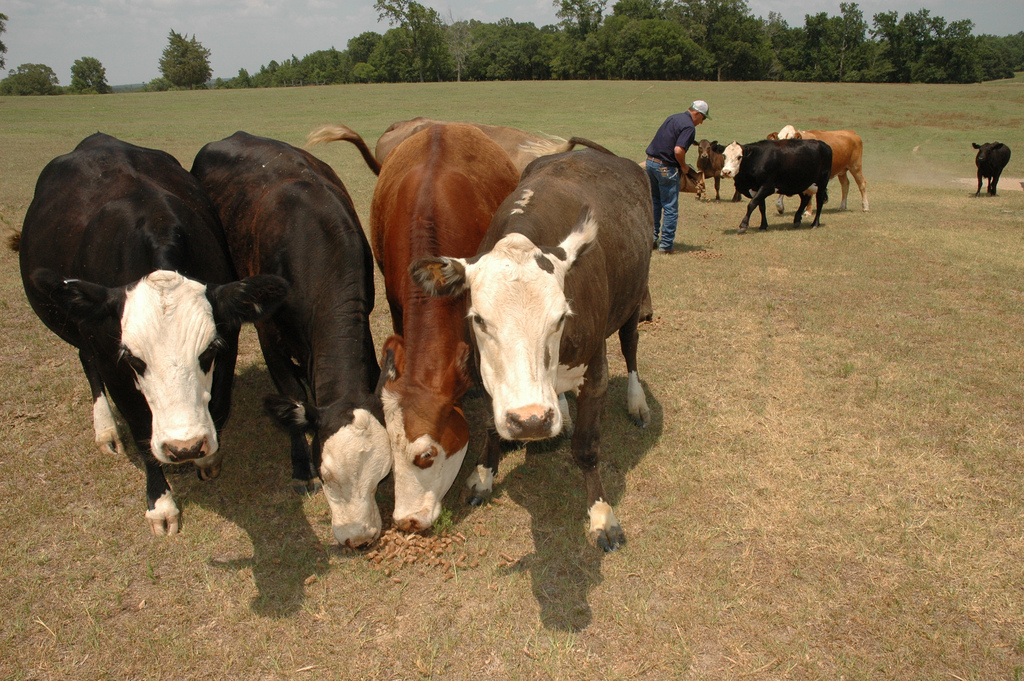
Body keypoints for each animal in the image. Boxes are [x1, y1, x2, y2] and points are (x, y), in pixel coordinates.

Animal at [13, 133, 288, 535]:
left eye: (208, 352)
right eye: (134, 358)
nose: (184, 447)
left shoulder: (229, 341)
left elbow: (218, 404)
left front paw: (207, 460)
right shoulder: (111, 359)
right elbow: (141, 427)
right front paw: (161, 504)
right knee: (85, 360)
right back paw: (106, 430)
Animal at [192, 129, 392, 548]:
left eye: (383, 476)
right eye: (326, 473)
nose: (360, 539)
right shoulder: (269, 335)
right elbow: (293, 395)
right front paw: (301, 469)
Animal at [409, 147, 653, 552]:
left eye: (561, 317)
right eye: (479, 319)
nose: (531, 421)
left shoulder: (595, 372)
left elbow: (587, 448)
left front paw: (602, 516)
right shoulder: (486, 375)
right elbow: (491, 427)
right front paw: (483, 476)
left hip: (634, 298)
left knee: (631, 345)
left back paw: (637, 402)